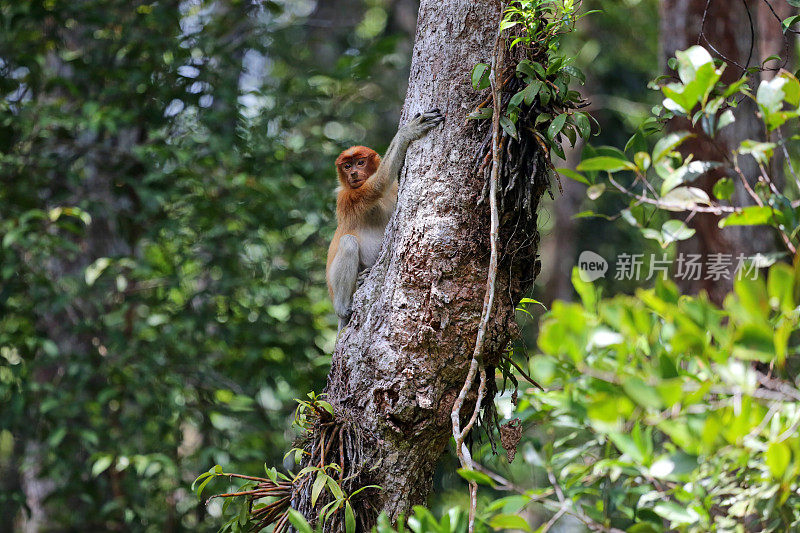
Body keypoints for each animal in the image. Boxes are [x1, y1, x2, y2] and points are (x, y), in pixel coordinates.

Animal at [328, 110, 446, 330]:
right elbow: (377, 185)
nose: (353, 174)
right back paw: (343, 307)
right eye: (347, 166)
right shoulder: (348, 197)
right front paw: (408, 131)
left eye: (360, 162)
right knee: (348, 242)